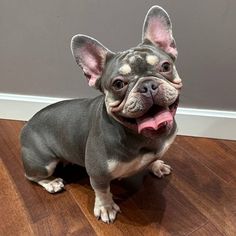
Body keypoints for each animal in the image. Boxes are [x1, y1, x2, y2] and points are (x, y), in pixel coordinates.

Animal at [20, 5, 183, 223]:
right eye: (118, 84)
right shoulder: (98, 172)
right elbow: (102, 190)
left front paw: (156, 165)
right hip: (43, 163)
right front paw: (106, 207)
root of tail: (27, 125)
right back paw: (51, 182)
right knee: (33, 176)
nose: (148, 85)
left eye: (165, 66)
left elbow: (155, 158)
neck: (142, 137)